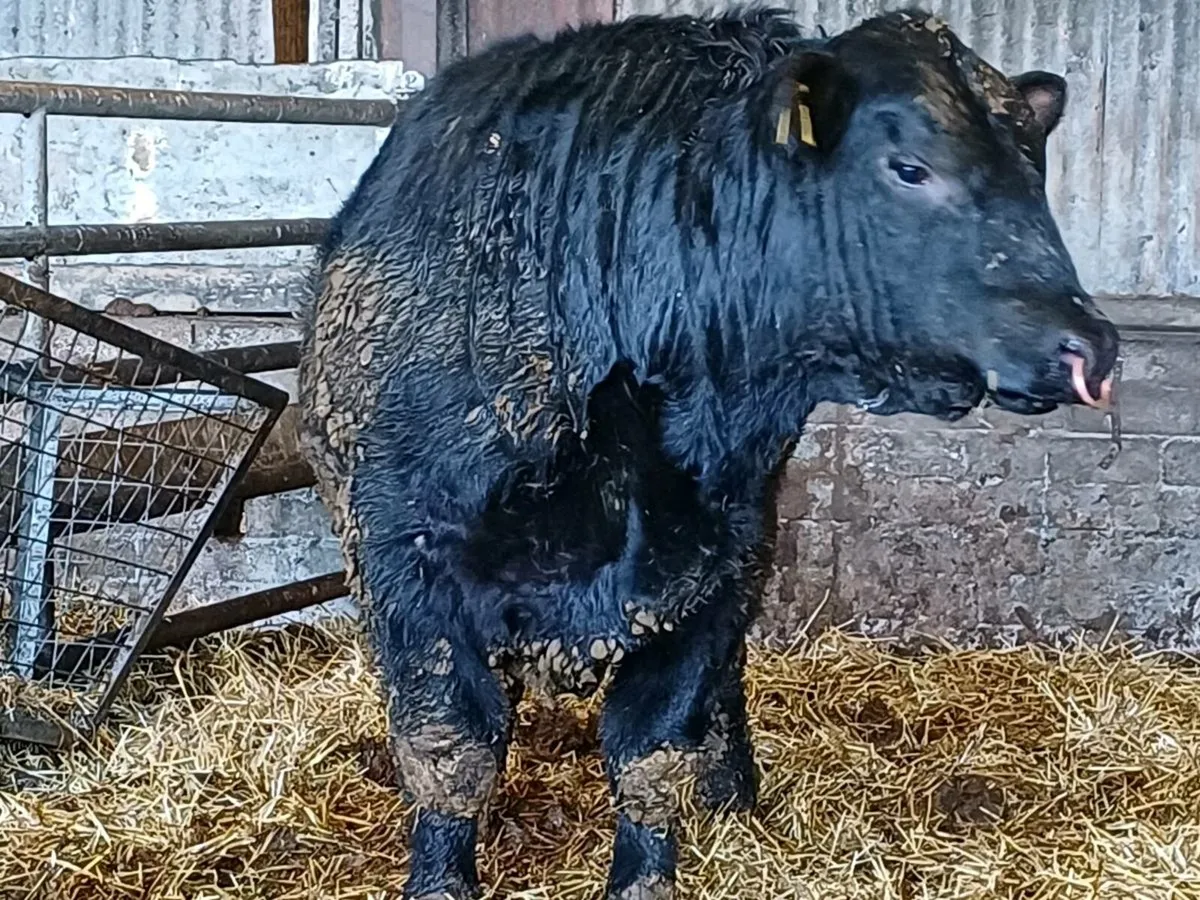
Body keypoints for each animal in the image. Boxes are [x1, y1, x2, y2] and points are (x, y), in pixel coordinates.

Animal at [297, 7, 1119, 898]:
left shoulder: (712, 565)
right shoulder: (404, 565)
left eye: (1034, 171)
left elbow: (655, 751)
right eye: (910, 167)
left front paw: (648, 873)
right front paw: (441, 879)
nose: (1090, 345)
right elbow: (450, 749)